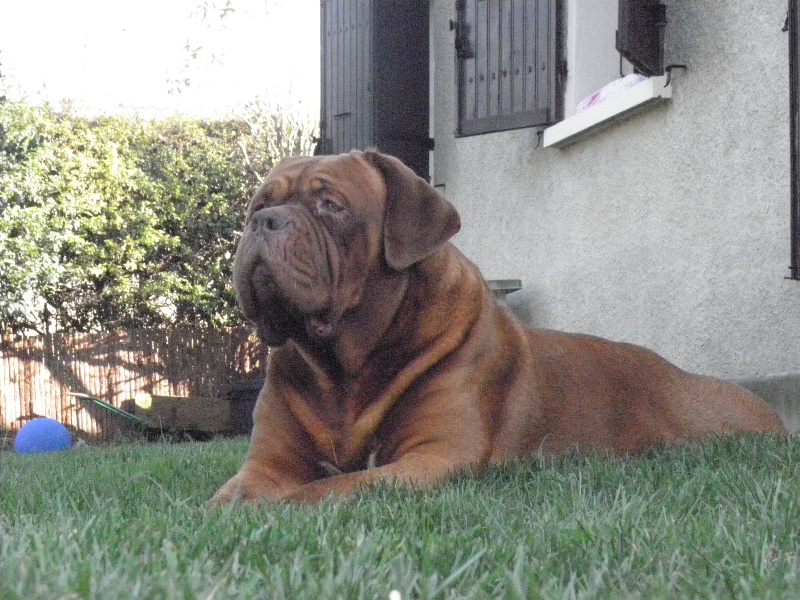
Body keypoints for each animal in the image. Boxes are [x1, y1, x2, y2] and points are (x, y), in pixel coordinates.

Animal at [208, 149, 788, 502]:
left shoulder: (435, 456)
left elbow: (324, 489)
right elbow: (228, 497)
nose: (263, 222)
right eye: (260, 203)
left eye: (331, 205)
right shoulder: (267, 462)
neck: (342, 372)